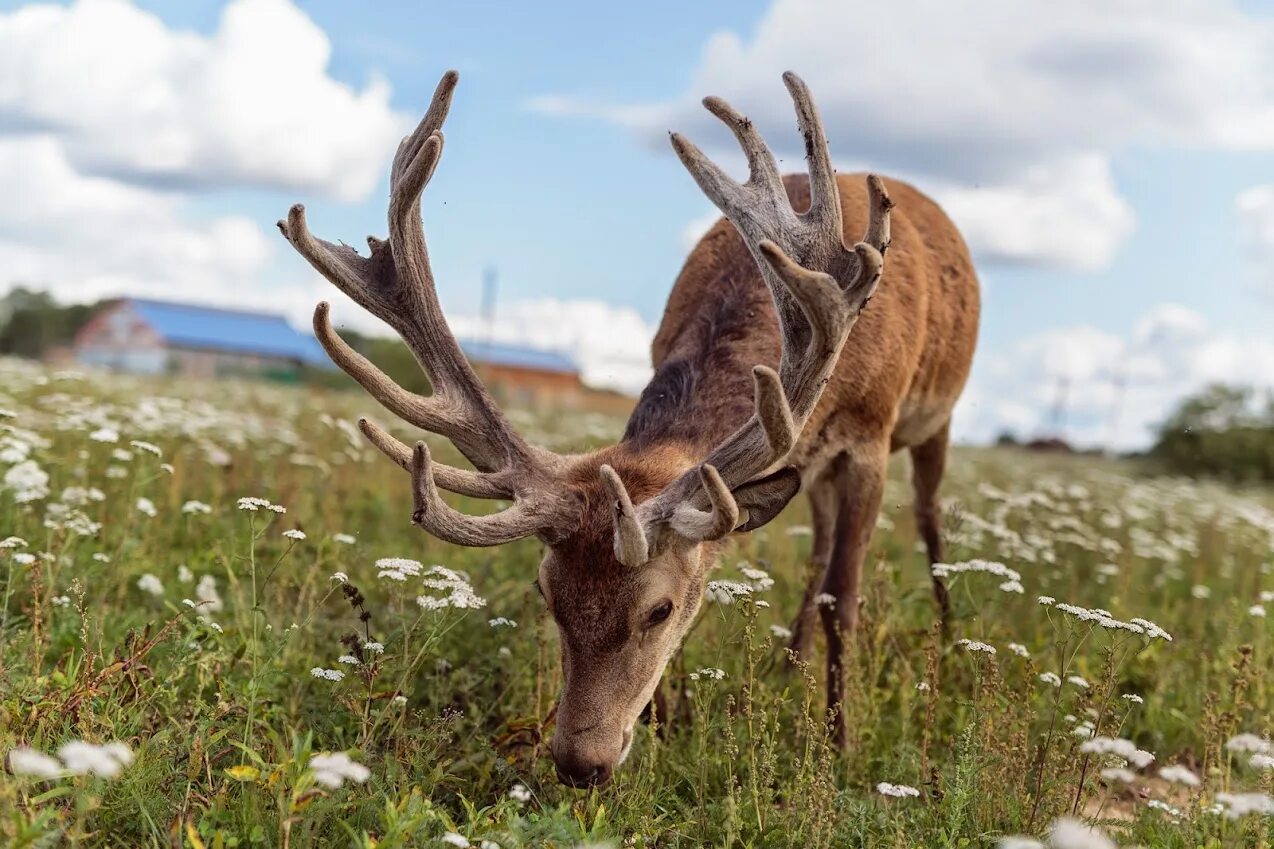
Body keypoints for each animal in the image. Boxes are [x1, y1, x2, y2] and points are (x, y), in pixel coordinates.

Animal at [276, 67, 973, 785]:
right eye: (547, 593)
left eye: (658, 608)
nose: (580, 762)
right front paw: (667, 727)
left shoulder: (869, 435)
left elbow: (846, 599)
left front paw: (841, 747)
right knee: (818, 547)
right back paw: (792, 664)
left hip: (934, 423)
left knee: (926, 523)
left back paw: (949, 647)